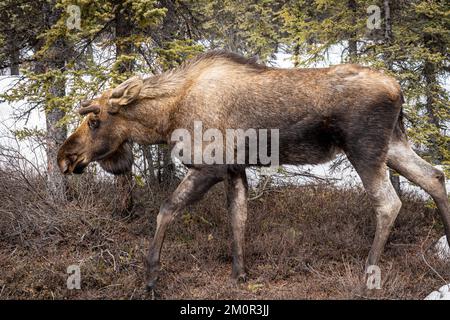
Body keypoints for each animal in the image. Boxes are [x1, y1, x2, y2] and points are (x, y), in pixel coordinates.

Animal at [57, 50, 450, 290]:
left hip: (364, 149)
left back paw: (368, 270)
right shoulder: (235, 168)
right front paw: (239, 274)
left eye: (94, 121)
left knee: (389, 203)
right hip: (393, 144)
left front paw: (151, 275)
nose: (64, 157)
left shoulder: (211, 165)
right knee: (434, 175)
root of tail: (399, 89)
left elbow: (167, 209)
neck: (165, 120)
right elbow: (238, 218)